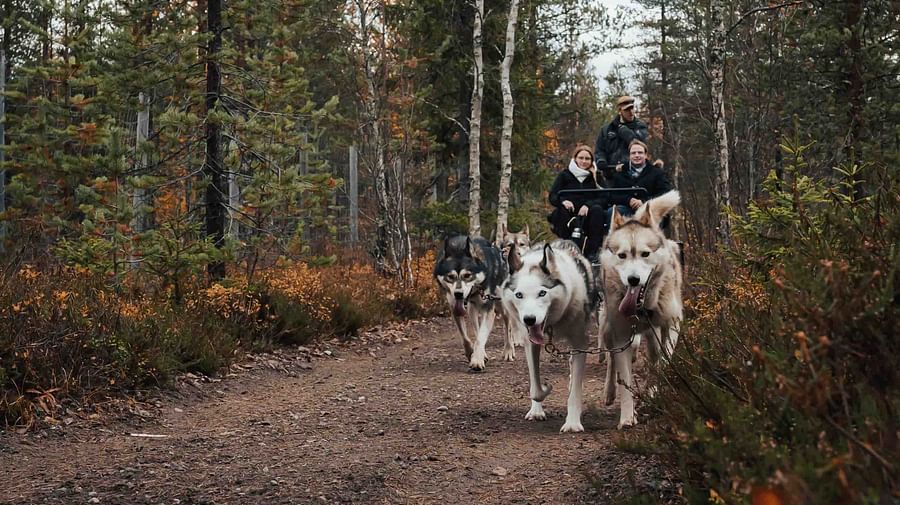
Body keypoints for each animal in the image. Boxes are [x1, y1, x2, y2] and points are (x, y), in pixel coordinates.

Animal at [436, 236, 512, 370]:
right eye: (450, 276)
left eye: (467, 275)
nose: (458, 294)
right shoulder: (455, 309)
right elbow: (467, 338)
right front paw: (472, 354)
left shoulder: (488, 310)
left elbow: (481, 338)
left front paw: (477, 360)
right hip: (472, 310)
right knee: (477, 328)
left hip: (502, 306)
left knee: (508, 327)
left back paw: (508, 350)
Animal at [506, 238, 596, 432]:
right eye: (519, 295)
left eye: (542, 293)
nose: (529, 319)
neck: (554, 322)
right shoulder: (531, 343)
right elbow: (535, 389)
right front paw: (541, 398)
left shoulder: (580, 342)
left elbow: (575, 392)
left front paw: (572, 423)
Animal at [596, 191, 684, 428]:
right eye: (622, 255)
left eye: (645, 254)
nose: (633, 279)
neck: (642, 308)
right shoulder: (620, 335)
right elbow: (624, 377)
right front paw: (627, 417)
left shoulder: (673, 324)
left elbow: (663, 361)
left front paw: (655, 390)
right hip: (607, 328)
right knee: (610, 361)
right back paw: (609, 392)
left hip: (653, 334)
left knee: (654, 357)